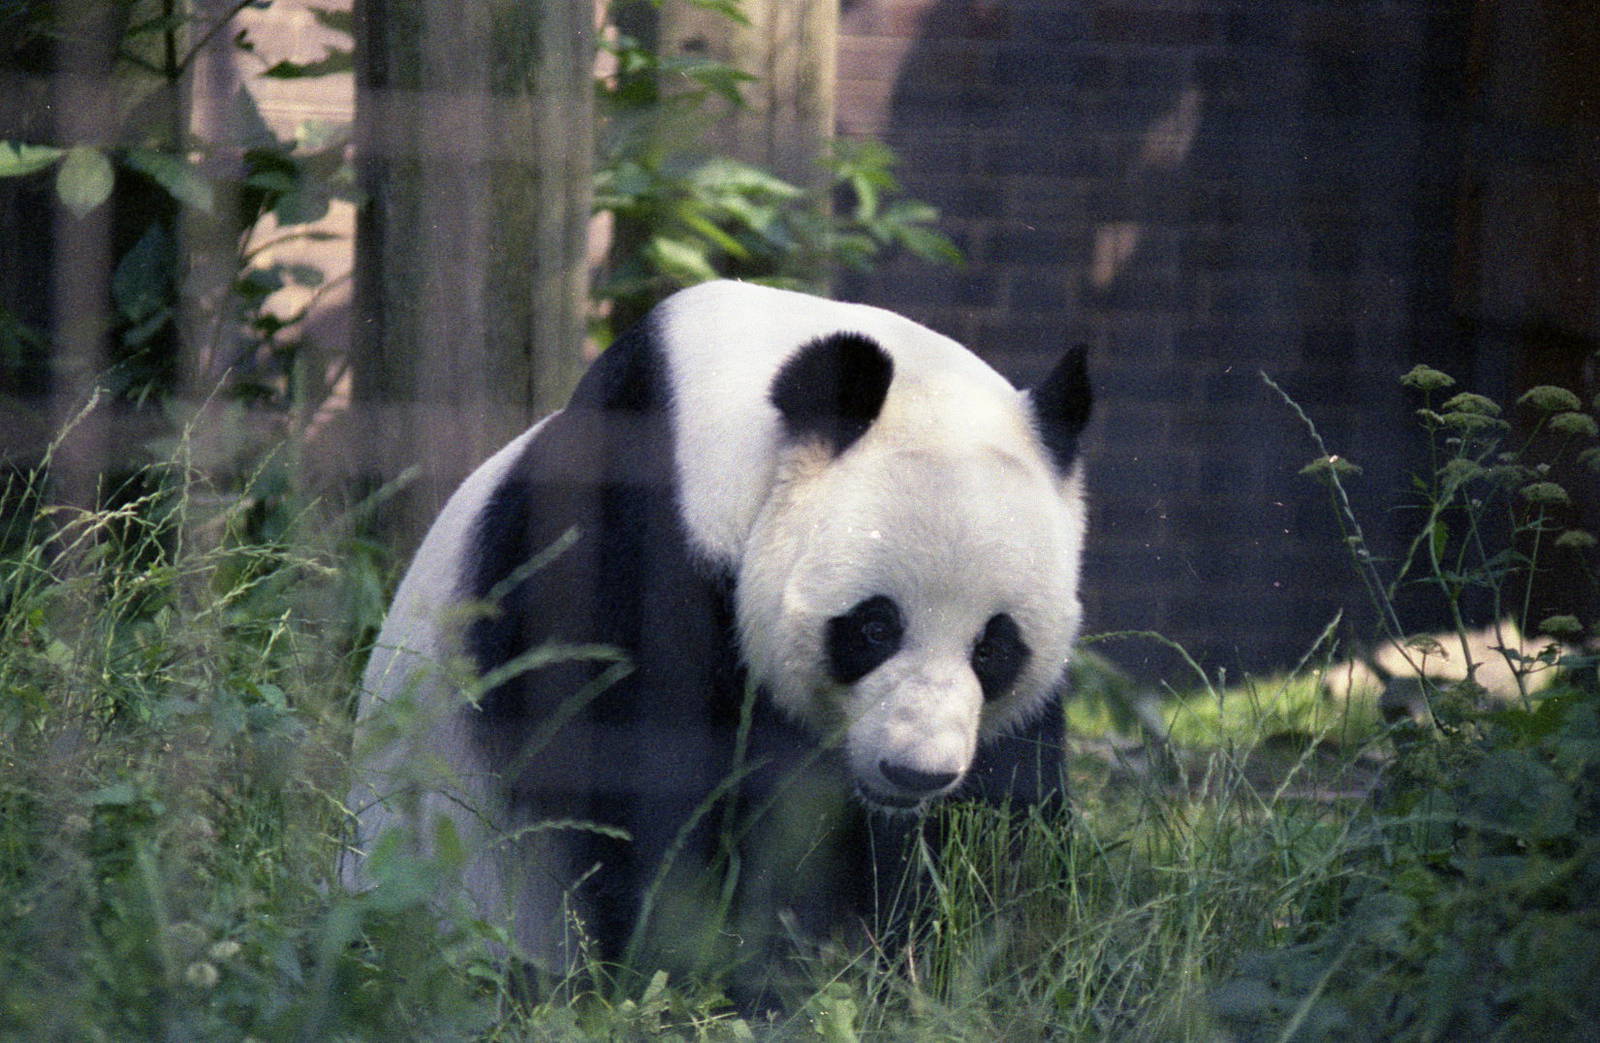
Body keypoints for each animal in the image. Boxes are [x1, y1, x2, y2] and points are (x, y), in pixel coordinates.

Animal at [345, 279, 1092, 993]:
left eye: (993, 647)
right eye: (874, 627)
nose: (916, 772)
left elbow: (1000, 823)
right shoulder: (635, 541)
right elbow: (644, 780)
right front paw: (749, 967)